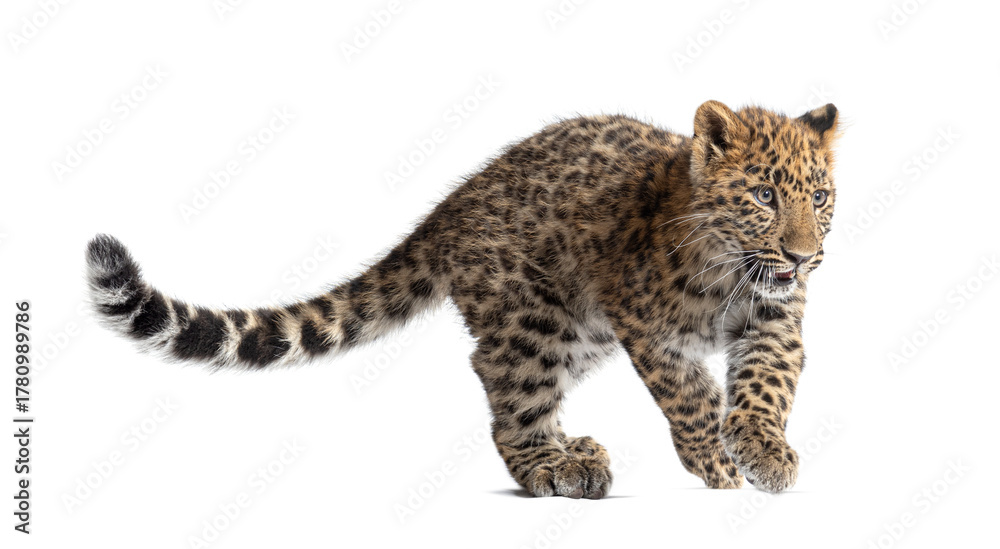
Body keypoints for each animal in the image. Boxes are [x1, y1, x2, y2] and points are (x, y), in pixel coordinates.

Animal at [86, 100, 839, 498]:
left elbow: (767, 382)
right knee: (508, 394)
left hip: (581, 329)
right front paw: (716, 459)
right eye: (763, 196)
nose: (804, 256)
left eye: (820, 196)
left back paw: (573, 449)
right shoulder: (649, 327)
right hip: (537, 317)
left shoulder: (774, 318)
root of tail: (457, 198)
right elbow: (689, 394)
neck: (730, 271)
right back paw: (557, 466)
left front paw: (763, 450)